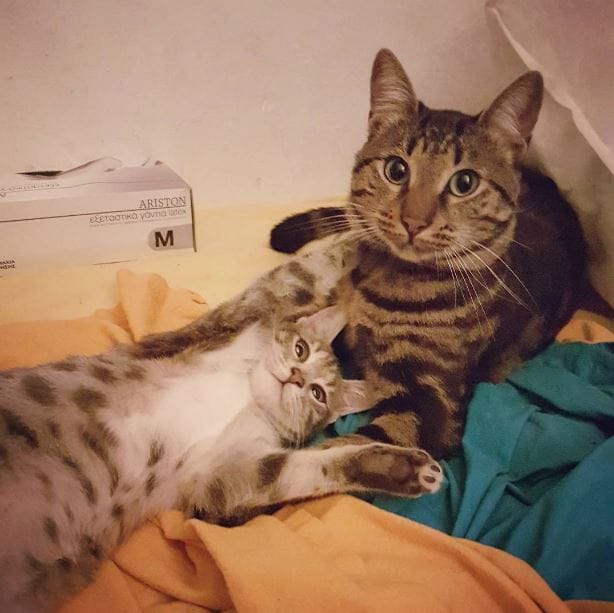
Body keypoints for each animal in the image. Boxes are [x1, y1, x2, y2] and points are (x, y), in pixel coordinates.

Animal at [0, 276, 443, 612]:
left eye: (317, 393)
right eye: (300, 350)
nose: (296, 377)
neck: (247, 395)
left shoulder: (220, 476)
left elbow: (311, 466)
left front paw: (402, 470)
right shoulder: (204, 336)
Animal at [269, 49, 586, 458]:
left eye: (464, 182)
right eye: (396, 170)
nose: (413, 221)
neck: (380, 278)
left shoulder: (427, 404)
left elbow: (339, 451)